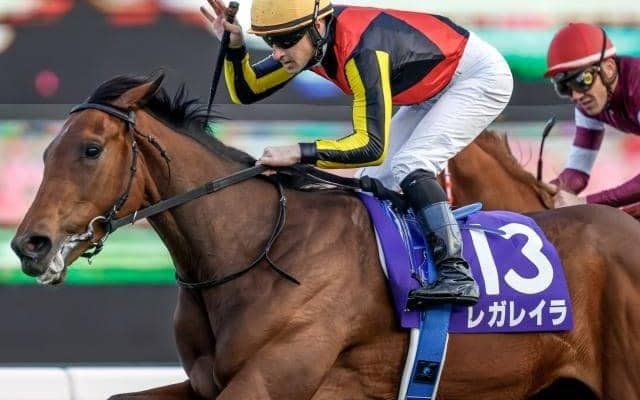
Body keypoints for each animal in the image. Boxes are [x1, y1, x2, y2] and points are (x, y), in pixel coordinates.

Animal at [11, 73, 640, 399]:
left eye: (91, 150)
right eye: (44, 151)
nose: (28, 245)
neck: (258, 251)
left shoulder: (272, 381)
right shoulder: (205, 384)